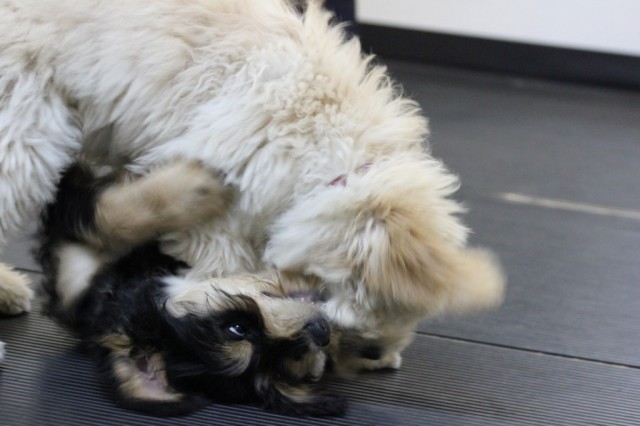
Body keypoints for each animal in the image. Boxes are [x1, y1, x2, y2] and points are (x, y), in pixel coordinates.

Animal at [36, 161, 344, 418]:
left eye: (289, 359)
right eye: (237, 329)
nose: (322, 332)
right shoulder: (71, 273)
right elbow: (106, 221)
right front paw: (203, 185)